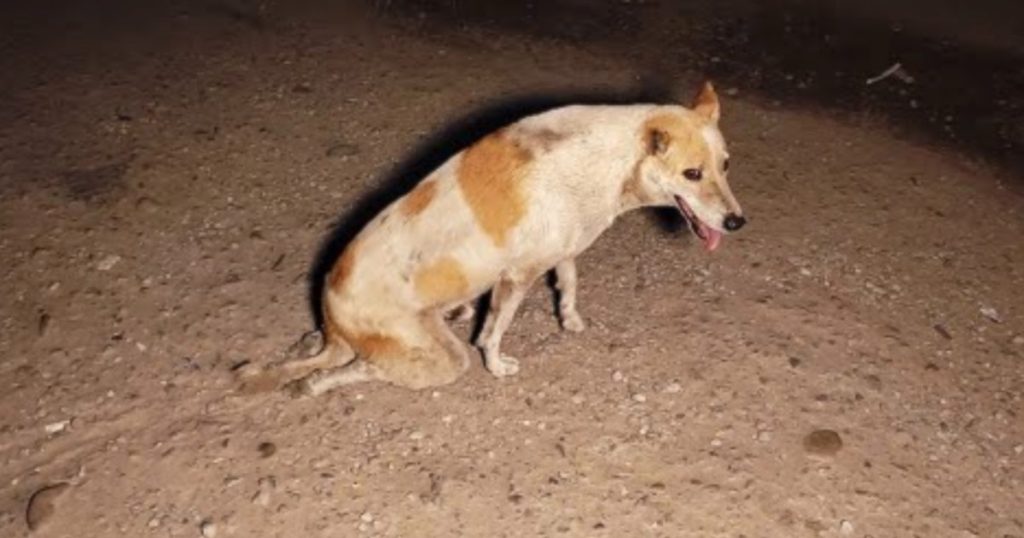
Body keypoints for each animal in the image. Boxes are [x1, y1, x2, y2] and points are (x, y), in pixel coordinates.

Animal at [244, 79, 749, 393]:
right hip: (441, 358)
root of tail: (331, 313)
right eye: (692, 173)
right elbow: (494, 332)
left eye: (726, 166)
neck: (609, 161)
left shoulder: (562, 249)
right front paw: (498, 365)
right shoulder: (517, 277)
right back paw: (314, 383)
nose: (736, 223)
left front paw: (570, 320)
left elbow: (568, 284)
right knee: (357, 369)